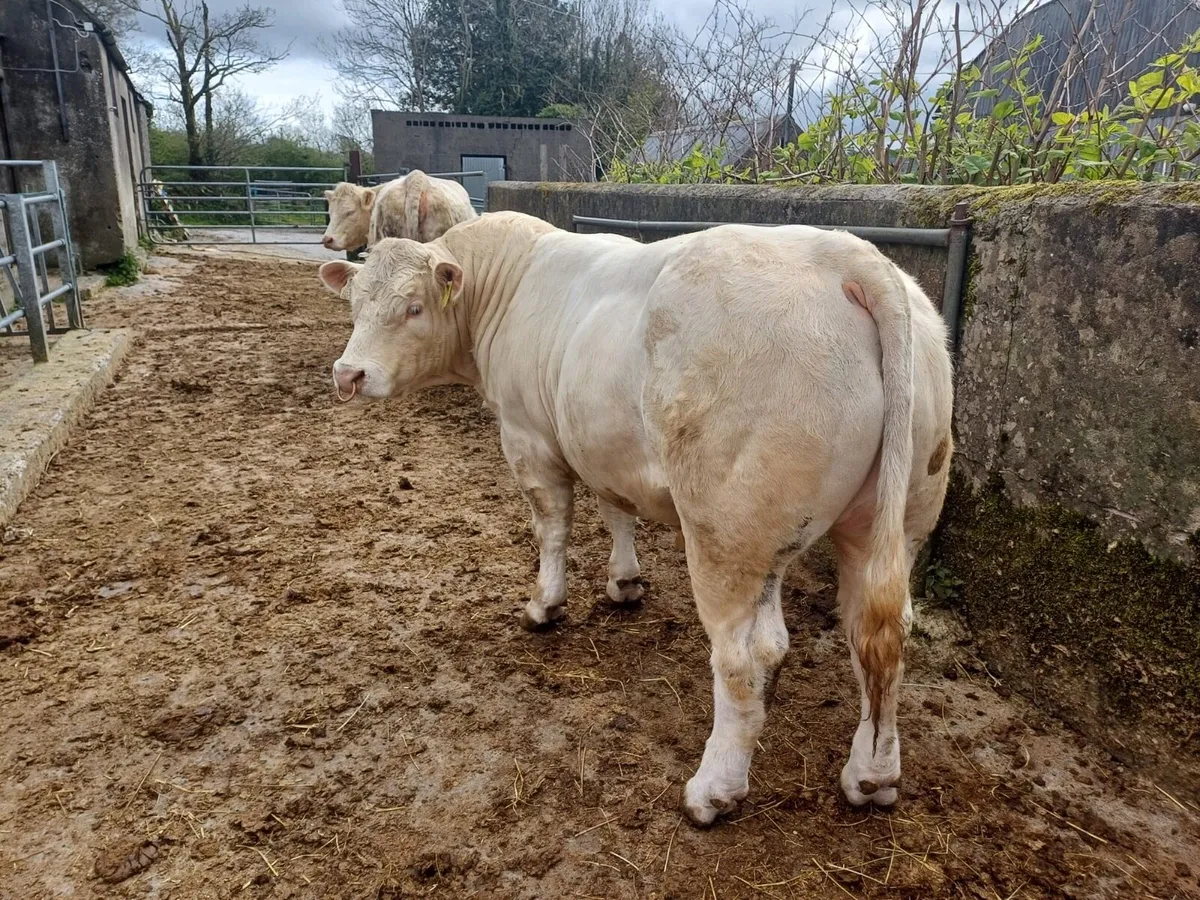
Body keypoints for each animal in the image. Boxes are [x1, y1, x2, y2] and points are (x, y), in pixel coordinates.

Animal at [317, 211, 954, 827]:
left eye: (413, 306)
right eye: (355, 303)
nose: (348, 375)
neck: (509, 281)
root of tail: (846, 254)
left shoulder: (528, 439)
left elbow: (552, 526)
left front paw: (544, 604)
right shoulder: (603, 445)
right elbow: (615, 510)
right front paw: (624, 582)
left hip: (729, 532)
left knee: (750, 654)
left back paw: (713, 791)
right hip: (893, 519)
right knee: (879, 634)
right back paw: (871, 775)